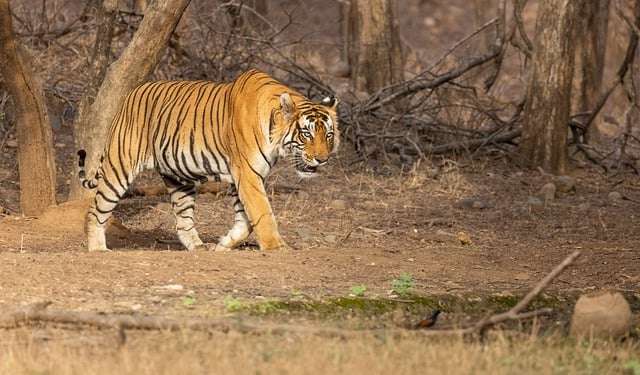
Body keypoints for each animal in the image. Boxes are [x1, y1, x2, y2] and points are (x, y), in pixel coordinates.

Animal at [77, 69, 340, 254]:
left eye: (328, 135)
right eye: (306, 134)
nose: (322, 159)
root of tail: (131, 94)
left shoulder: (242, 178)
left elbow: (245, 221)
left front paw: (223, 244)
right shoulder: (247, 174)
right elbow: (262, 212)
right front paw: (277, 247)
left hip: (178, 177)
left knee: (183, 221)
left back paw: (199, 247)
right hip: (120, 166)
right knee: (96, 209)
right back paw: (98, 248)